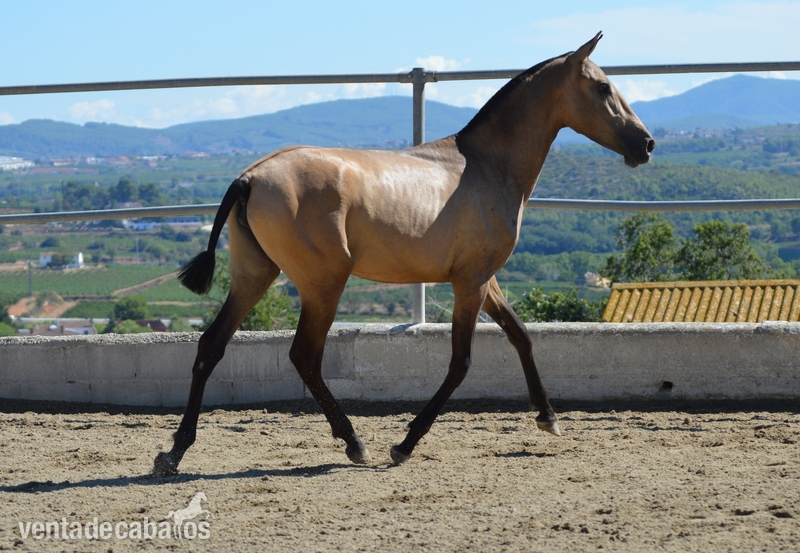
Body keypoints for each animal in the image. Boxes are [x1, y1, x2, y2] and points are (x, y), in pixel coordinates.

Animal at [153, 32, 654, 476]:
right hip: (323, 284)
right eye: (603, 87)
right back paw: (354, 443)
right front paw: (405, 444)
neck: (487, 167)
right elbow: (460, 363)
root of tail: (250, 177)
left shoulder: (483, 279)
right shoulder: (469, 284)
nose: (646, 144)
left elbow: (521, 335)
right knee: (304, 356)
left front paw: (548, 417)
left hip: (254, 275)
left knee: (211, 345)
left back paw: (174, 453)